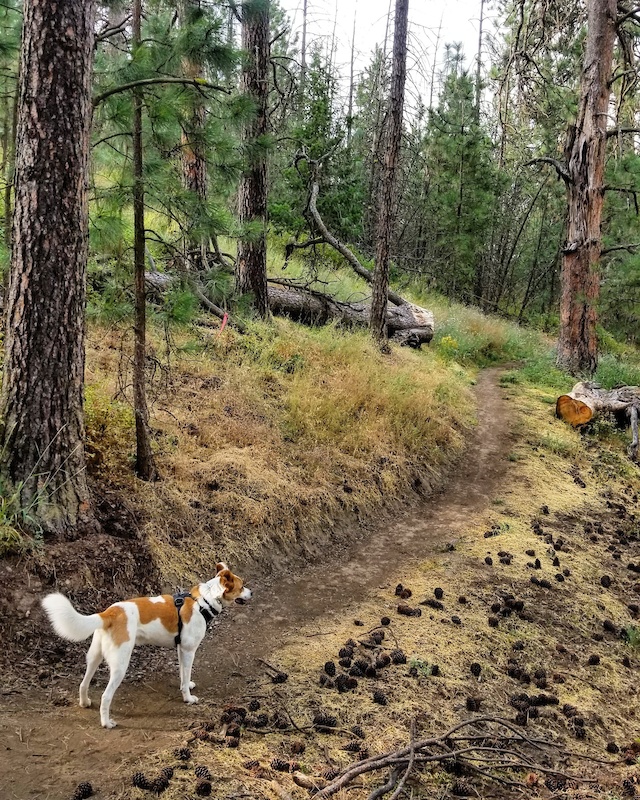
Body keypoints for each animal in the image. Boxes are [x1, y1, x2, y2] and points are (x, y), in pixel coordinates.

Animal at [41, 564, 251, 728]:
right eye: (242, 586)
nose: (252, 592)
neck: (204, 601)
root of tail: (109, 612)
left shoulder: (181, 649)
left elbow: (183, 674)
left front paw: (186, 685)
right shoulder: (189, 651)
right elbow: (186, 674)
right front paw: (188, 698)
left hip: (94, 657)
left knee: (83, 684)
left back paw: (85, 702)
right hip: (120, 665)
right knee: (105, 696)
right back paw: (106, 723)